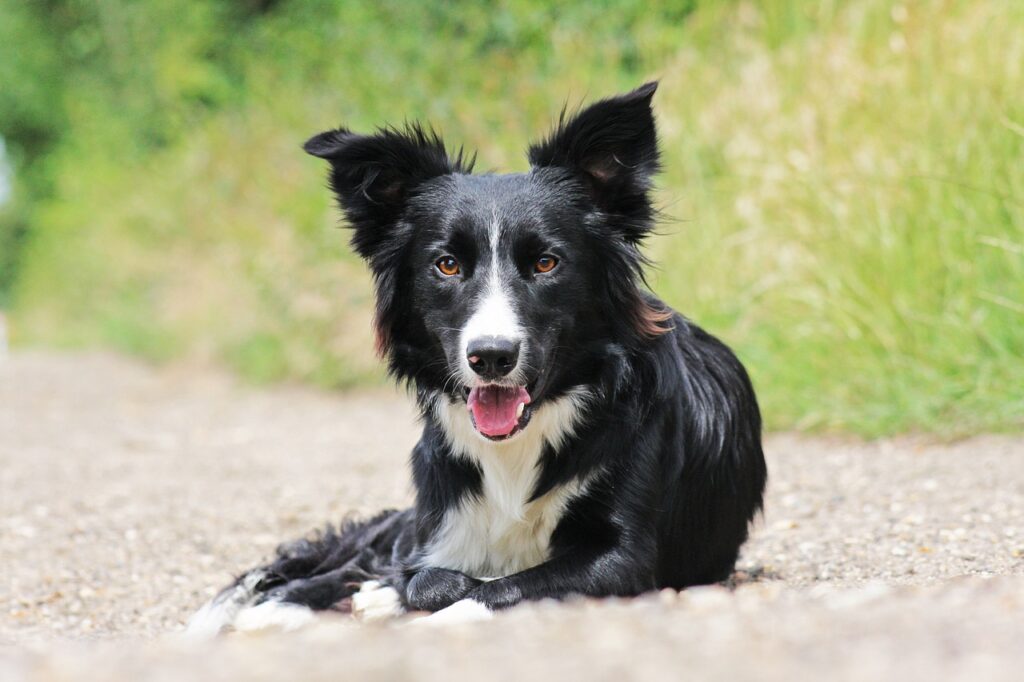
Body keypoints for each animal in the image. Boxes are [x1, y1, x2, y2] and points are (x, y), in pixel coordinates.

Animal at [186, 80, 770, 630]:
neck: (519, 444)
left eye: (545, 263)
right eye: (447, 265)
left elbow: (501, 584)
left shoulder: (624, 558)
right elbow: (422, 575)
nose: (491, 357)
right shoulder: (440, 524)